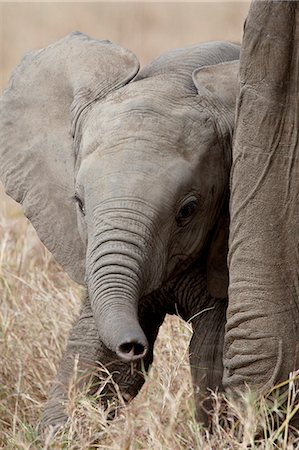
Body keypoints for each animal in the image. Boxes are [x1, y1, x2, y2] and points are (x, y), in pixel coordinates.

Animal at [0, 32, 239, 428]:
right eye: (80, 204)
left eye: (188, 211)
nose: (133, 346)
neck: (175, 80)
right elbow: (94, 354)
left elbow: (212, 351)